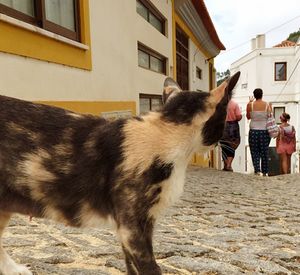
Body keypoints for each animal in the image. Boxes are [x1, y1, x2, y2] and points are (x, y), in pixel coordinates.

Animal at [0, 72, 239, 274]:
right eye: (225, 118)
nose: (220, 142)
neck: (165, 130)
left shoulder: (131, 229)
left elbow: (131, 266)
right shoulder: (132, 226)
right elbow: (150, 267)